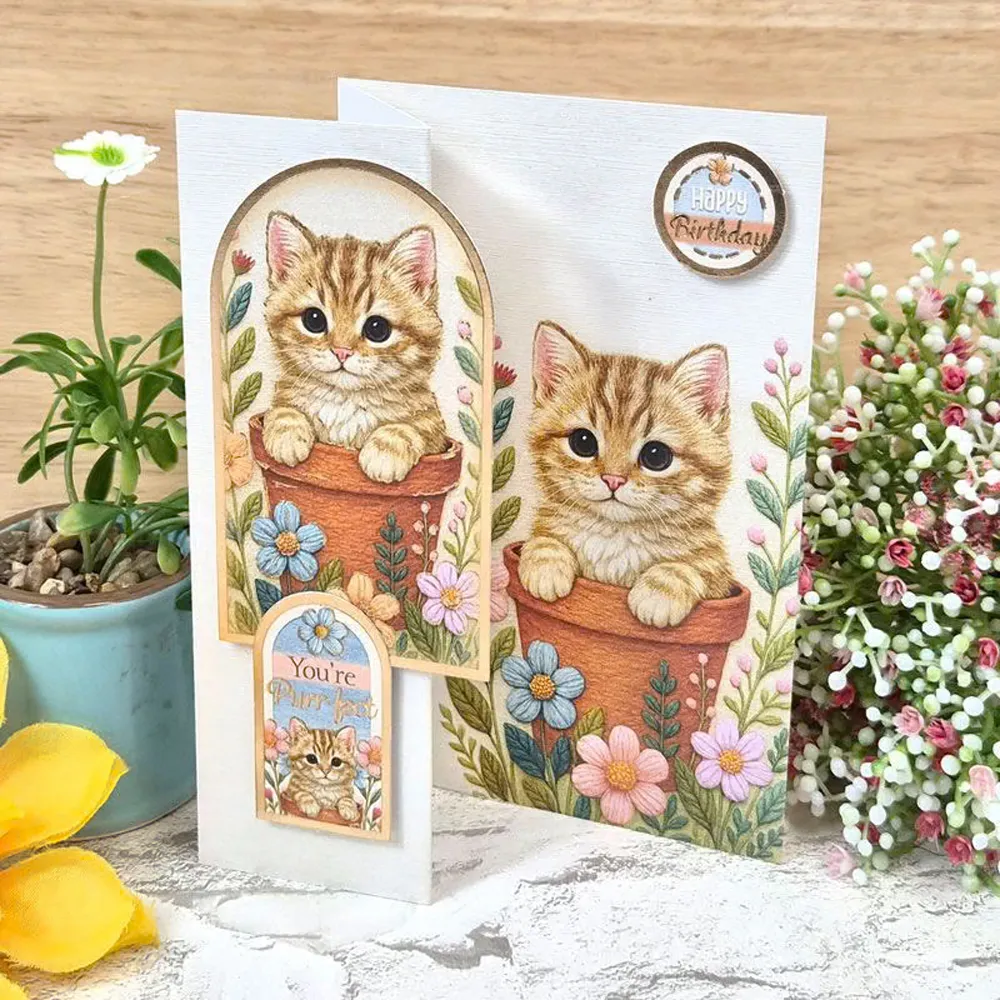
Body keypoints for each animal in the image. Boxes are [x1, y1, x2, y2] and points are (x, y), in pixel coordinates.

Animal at [260, 211, 448, 483]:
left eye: (377, 328)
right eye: (314, 320)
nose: (342, 351)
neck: (344, 402)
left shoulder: (435, 430)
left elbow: (412, 427)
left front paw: (386, 450)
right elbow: (282, 410)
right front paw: (287, 431)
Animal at [518, 321, 734, 628]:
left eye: (656, 455)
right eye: (583, 442)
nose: (613, 479)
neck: (614, 538)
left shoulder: (719, 579)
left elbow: (692, 567)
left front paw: (660, 591)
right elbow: (543, 540)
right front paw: (545, 563)